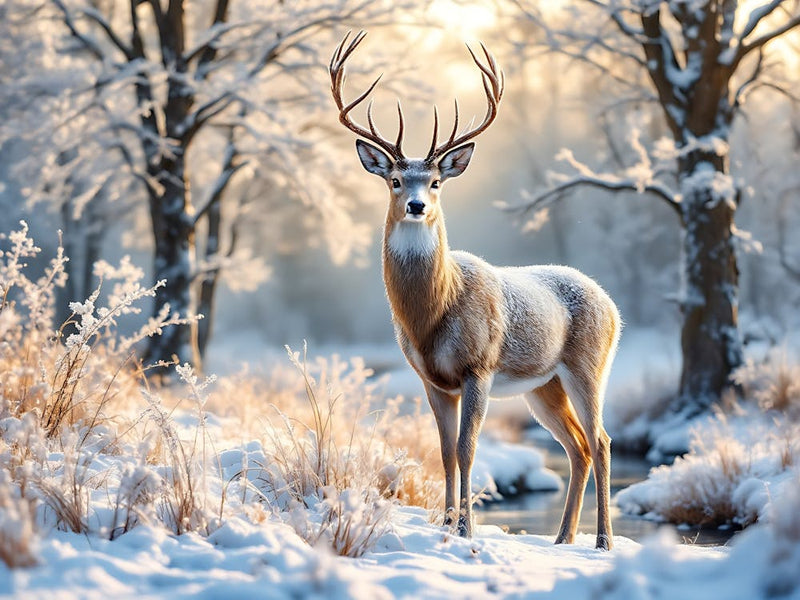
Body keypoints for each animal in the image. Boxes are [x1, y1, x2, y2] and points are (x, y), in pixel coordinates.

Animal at [329, 31, 621, 550]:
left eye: (436, 181)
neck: (433, 314)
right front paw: (445, 526)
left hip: (588, 367)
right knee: (577, 447)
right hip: (543, 386)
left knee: (601, 440)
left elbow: (468, 449)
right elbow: (445, 451)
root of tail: (612, 305)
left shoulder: (478, 368)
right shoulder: (430, 379)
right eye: (395, 179)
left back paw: (603, 541)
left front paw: (466, 529)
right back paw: (562, 538)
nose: (417, 205)